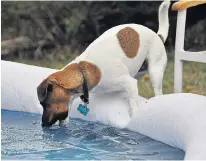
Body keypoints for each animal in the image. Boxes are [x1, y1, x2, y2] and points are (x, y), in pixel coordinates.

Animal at [37, 0, 171, 127]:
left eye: (45, 103)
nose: (43, 124)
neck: (83, 71)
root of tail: (157, 36)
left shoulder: (129, 83)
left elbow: (134, 107)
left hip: (155, 72)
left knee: (158, 91)